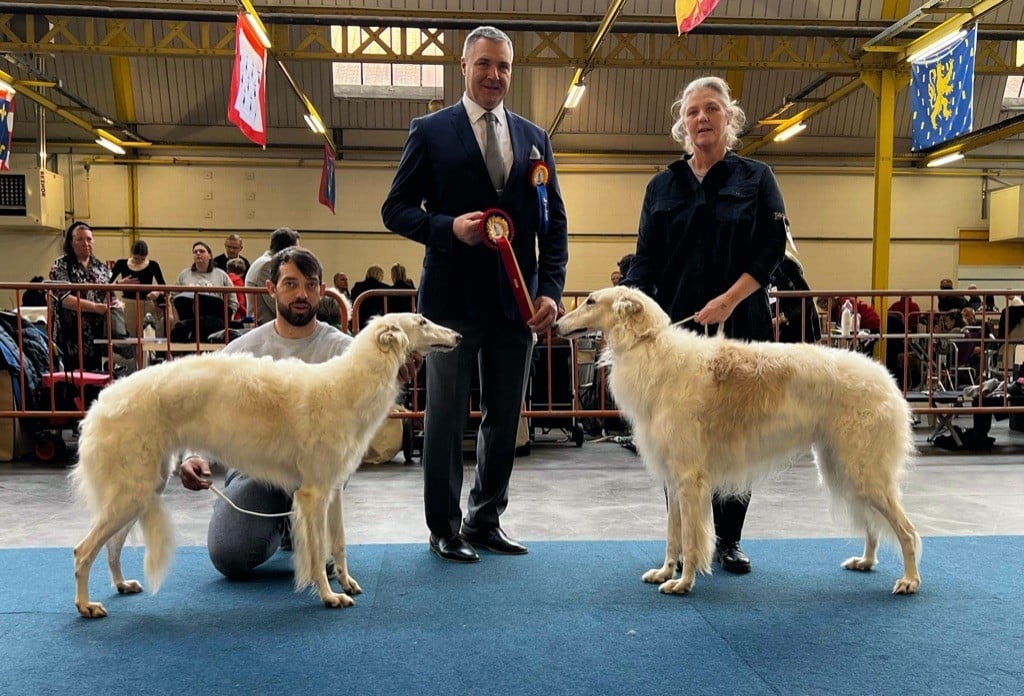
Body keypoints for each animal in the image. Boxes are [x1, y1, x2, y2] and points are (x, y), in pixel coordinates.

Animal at [77, 313, 462, 618]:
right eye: (422, 321)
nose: (458, 337)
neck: (346, 387)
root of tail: (101, 403)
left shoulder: (333, 490)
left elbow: (338, 544)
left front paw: (347, 583)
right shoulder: (312, 494)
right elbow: (317, 552)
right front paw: (329, 596)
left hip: (141, 490)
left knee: (111, 547)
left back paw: (121, 584)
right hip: (132, 491)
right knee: (82, 551)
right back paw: (85, 606)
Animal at [557, 284, 925, 593]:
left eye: (591, 301)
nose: (557, 325)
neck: (651, 349)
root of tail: (887, 380)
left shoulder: (689, 478)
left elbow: (690, 538)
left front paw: (683, 583)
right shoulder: (673, 479)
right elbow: (673, 535)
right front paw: (664, 573)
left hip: (864, 471)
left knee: (908, 532)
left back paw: (909, 580)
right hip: (843, 469)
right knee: (872, 524)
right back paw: (865, 561)